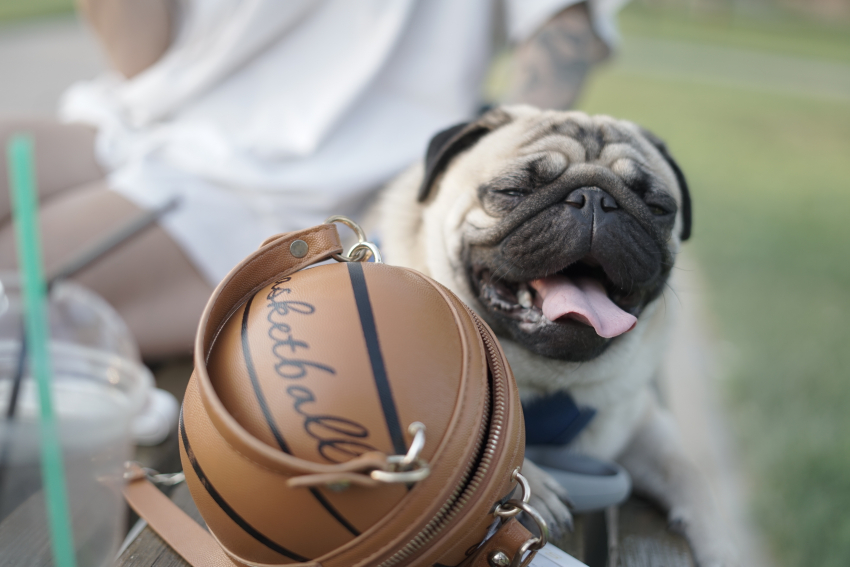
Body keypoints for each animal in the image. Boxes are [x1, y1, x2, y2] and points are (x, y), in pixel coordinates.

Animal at [378, 105, 736, 564]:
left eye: (658, 207)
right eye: (511, 191)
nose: (596, 200)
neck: (549, 380)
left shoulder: (643, 425)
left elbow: (692, 477)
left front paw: (723, 547)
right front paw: (531, 483)